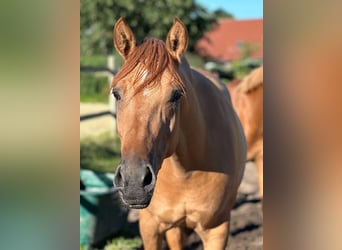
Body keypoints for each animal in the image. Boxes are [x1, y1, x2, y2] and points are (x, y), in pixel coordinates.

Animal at [112, 17, 246, 248]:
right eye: (116, 94)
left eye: (176, 95)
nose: (134, 181)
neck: (185, 171)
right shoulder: (150, 227)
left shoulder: (217, 230)